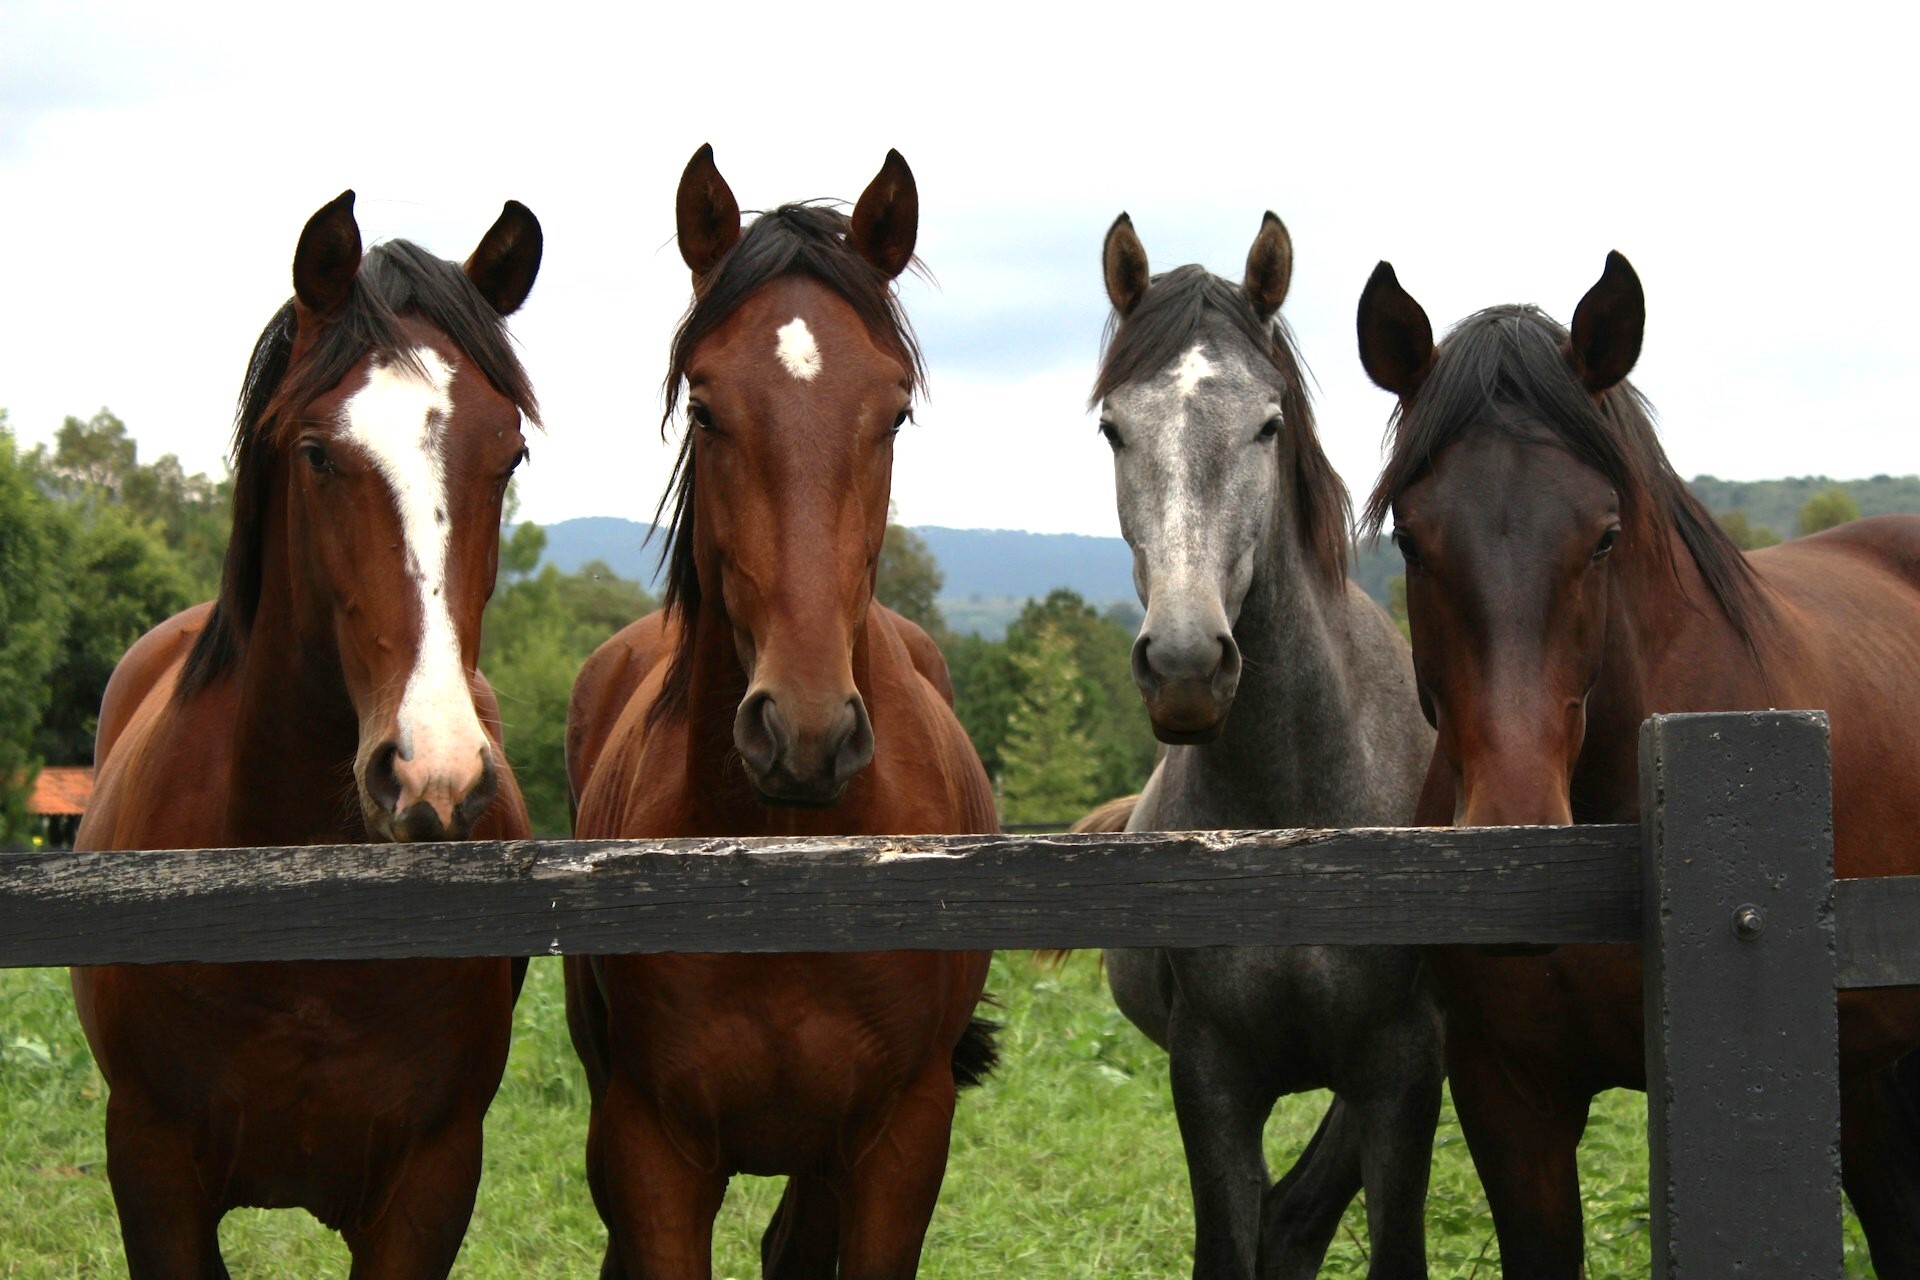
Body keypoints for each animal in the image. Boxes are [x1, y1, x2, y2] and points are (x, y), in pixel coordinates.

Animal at [71, 192, 545, 1280]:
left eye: (508, 454)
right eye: (319, 453)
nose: (432, 774)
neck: (299, 909)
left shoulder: (431, 1183)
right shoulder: (152, 1171)